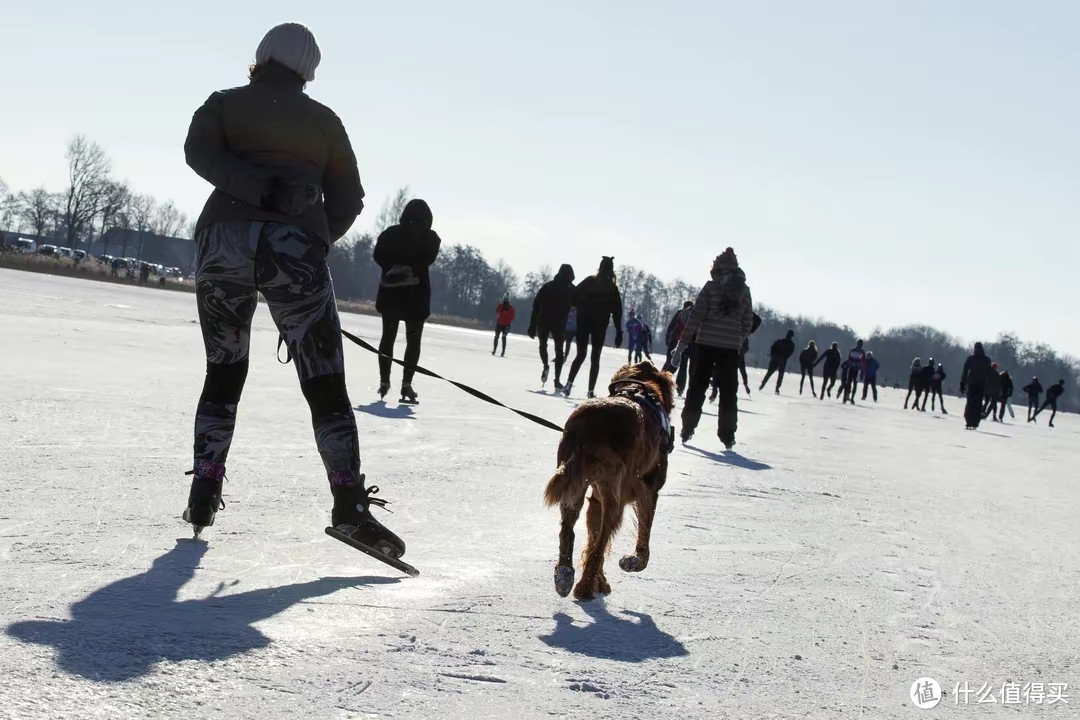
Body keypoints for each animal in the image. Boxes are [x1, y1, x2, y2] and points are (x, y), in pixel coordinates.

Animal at [544, 362, 669, 600]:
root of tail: (590, 421)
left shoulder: (596, 500)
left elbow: (592, 537)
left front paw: (600, 581)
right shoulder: (649, 491)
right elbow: (644, 534)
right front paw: (633, 562)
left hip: (575, 484)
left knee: (569, 530)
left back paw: (564, 575)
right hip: (613, 496)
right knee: (601, 543)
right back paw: (583, 587)